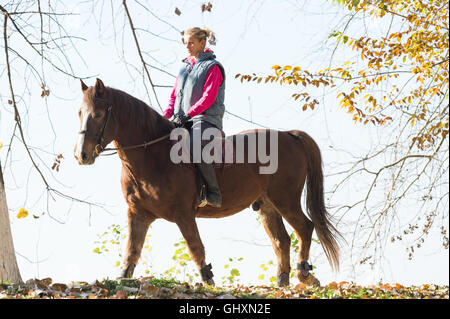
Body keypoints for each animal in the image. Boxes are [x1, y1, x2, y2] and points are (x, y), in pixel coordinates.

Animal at [74, 79, 342, 288]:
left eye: (98, 114)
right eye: (80, 113)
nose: (81, 155)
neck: (153, 154)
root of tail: (289, 135)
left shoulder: (183, 214)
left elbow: (195, 247)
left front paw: (208, 281)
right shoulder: (138, 213)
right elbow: (132, 251)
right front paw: (122, 278)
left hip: (285, 199)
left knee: (305, 228)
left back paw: (304, 274)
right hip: (268, 206)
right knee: (282, 241)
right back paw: (283, 281)